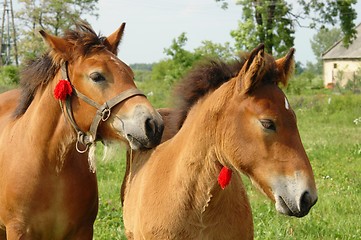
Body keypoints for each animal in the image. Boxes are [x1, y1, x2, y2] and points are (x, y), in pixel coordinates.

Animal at [0, 21, 162, 239]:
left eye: (130, 73)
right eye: (96, 76)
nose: (153, 125)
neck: (51, 165)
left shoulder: (83, 230)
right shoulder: (18, 231)